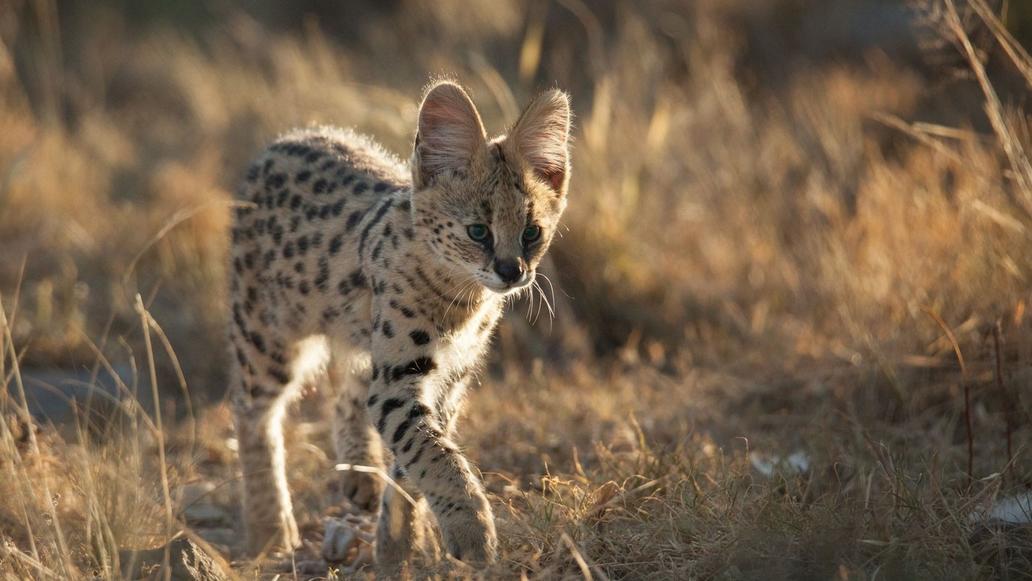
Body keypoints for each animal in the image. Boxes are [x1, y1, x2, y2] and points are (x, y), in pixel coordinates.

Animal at [227, 82, 577, 569]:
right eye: (477, 231)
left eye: (532, 232)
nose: (512, 272)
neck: (461, 300)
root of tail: (287, 138)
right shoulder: (400, 374)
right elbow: (431, 452)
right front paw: (470, 530)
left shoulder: (448, 380)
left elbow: (417, 459)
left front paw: (399, 543)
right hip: (266, 335)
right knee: (252, 411)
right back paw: (269, 528)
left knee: (347, 393)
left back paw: (360, 477)